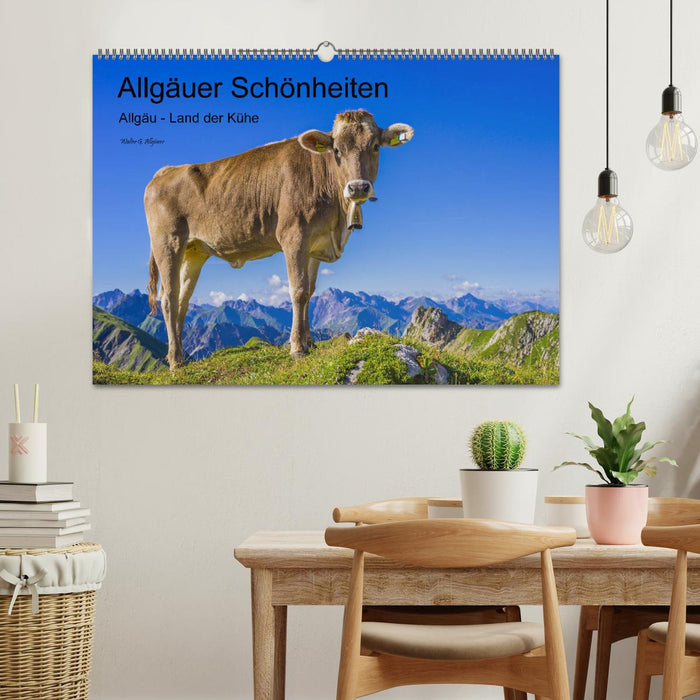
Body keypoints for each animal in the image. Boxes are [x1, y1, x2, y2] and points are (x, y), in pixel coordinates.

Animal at [145, 109, 414, 369]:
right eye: (337, 150)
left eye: (375, 146)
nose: (358, 187)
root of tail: (165, 171)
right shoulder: (293, 236)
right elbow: (298, 290)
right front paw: (297, 347)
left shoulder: (315, 244)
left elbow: (310, 291)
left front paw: (309, 342)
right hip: (167, 243)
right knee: (169, 299)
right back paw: (176, 361)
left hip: (194, 251)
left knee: (183, 301)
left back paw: (180, 356)